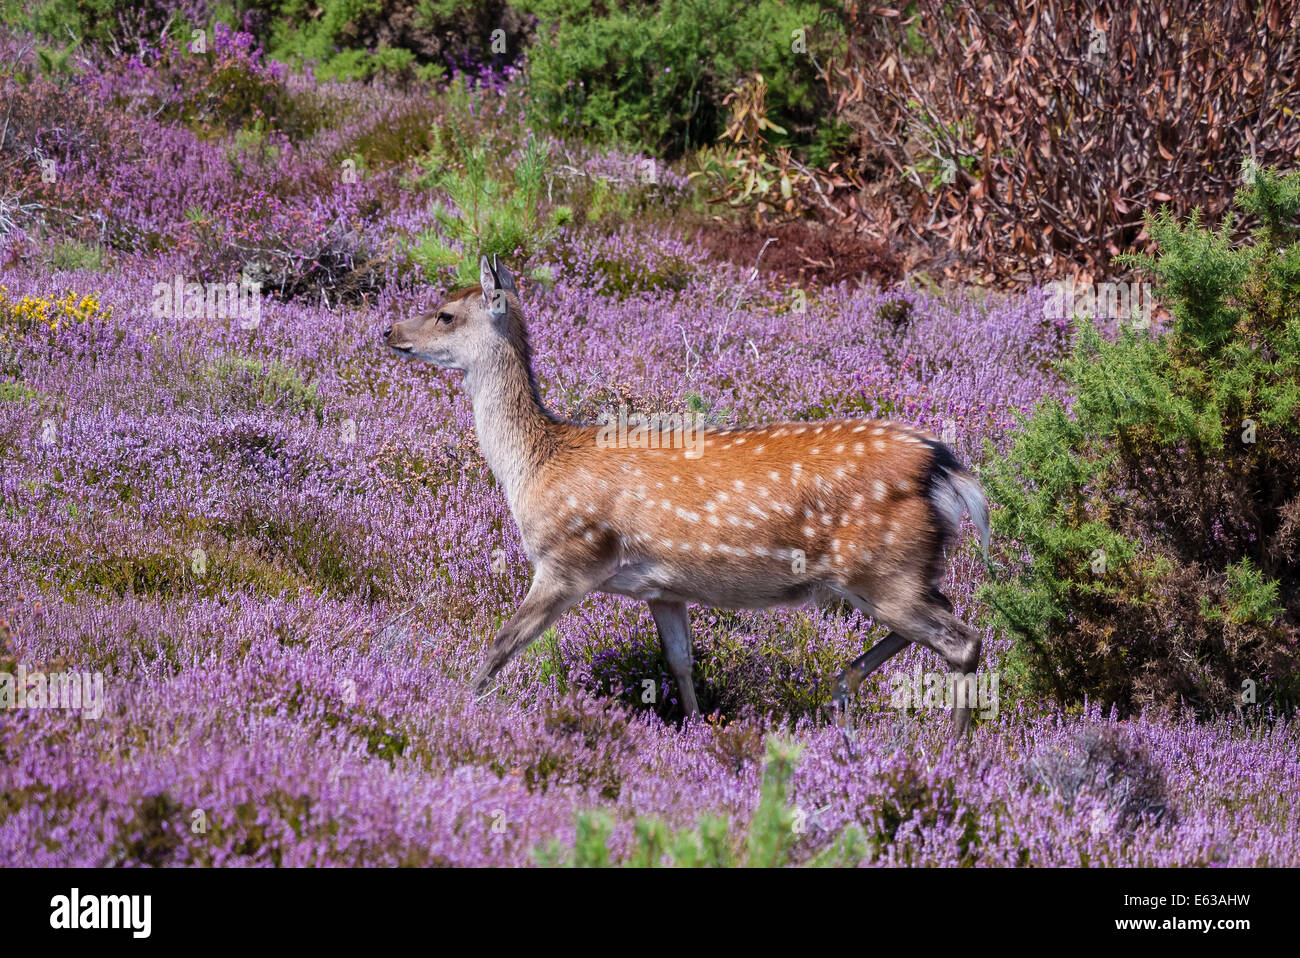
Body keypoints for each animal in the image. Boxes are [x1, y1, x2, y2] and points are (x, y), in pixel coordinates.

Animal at [384, 256, 991, 737]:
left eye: (445, 313)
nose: (389, 331)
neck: (536, 465)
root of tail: (944, 469)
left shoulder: (568, 559)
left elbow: (502, 643)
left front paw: (457, 706)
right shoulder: (662, 588)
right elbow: (680, 661)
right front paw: (697, 728)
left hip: (883, 566)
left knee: (963, 641)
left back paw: (950, 751)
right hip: (899, 570)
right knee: (940, 622)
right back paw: (843, 686)